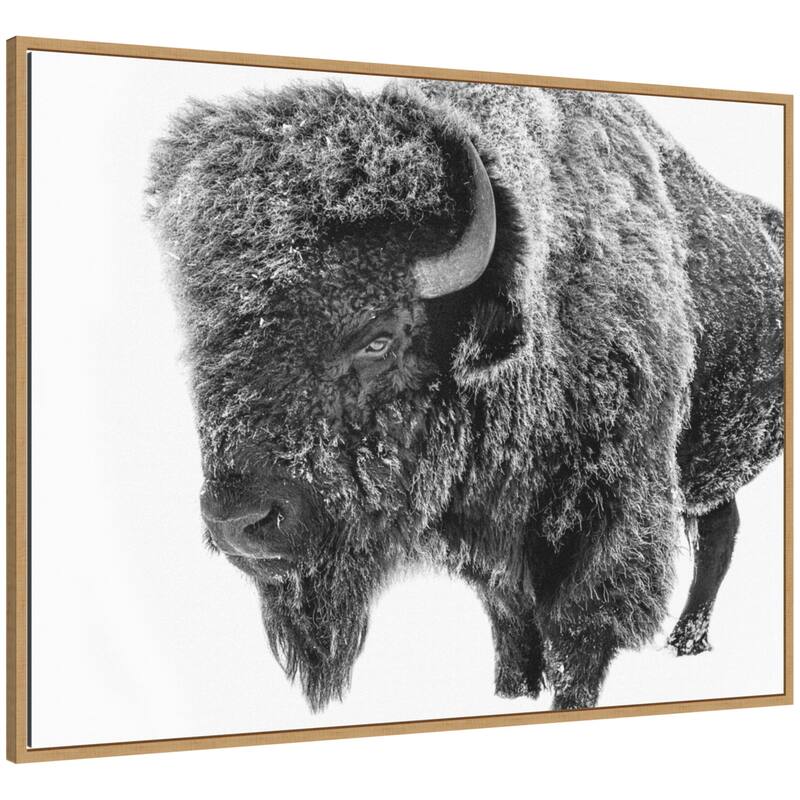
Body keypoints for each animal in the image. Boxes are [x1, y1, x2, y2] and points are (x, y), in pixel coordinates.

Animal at [146, 80, 783, 711]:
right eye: (206, 337)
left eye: (378, 336)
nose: (240, 520)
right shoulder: (491, 552)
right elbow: (513, 630)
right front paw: (512, 692)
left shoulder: (606, 523)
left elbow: (578, 637)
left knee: (717, 537)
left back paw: (688, 642)